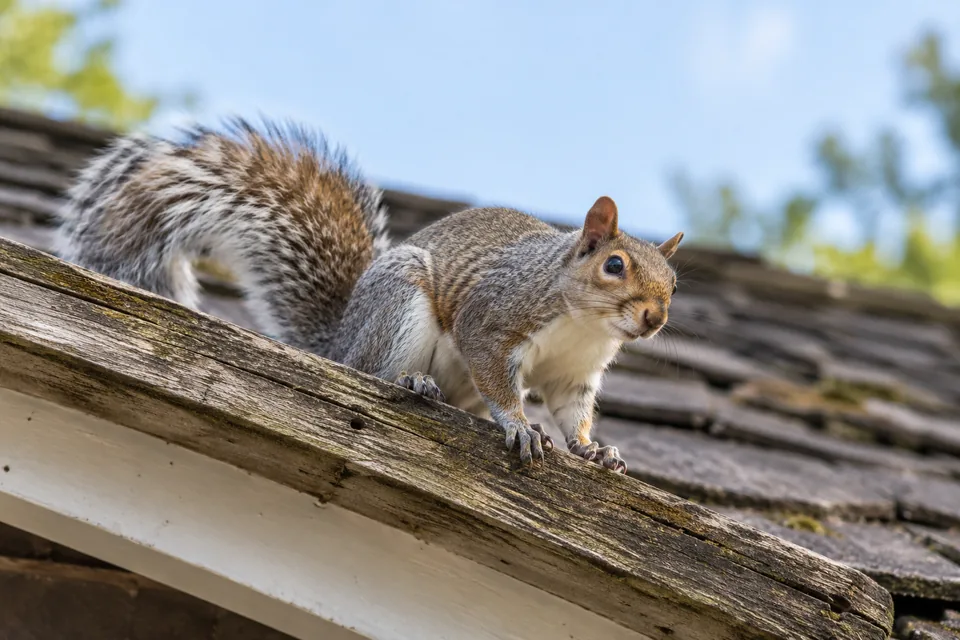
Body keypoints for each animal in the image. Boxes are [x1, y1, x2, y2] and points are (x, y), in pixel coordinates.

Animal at [55, 118, 684, 473]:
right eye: (614, 265)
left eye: (674, 284)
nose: (653, 318)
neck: (585, 324)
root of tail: (340, 341)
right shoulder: (495, 316)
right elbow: (496, 372)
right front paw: (520, 425)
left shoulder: (574, 374)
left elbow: (574, 414)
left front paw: (594, 450)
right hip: (399, 309)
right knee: (371, 370)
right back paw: (410, 381)